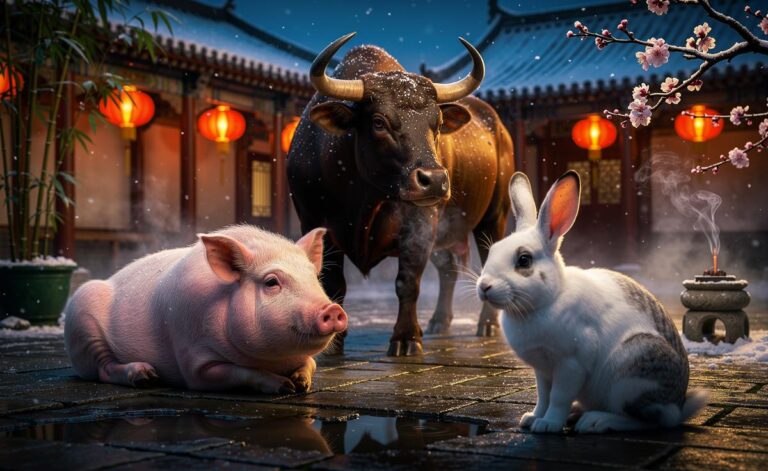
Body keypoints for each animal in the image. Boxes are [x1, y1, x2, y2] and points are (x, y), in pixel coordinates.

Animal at [64, 225, 347, 394]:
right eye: (271, 282)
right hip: (82, 321)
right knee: (103, 369)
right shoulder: (195, 362)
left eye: (314, 277)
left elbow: (311, 363)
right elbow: (239, 373)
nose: (333, 309)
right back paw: (145, 376)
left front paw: (302, 384)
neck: (273, 359)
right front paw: (285, 387)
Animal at [476, 170, 706, 433]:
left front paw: (548, 425)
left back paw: (596, 421)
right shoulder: (542, 371)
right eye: (492, 250)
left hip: (630, 376)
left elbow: (558, 397)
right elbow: (543, 397)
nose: (484, 286)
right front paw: (532, 418)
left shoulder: (571, 363)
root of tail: (678, 405)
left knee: (648, 419)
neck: (549, 299)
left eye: (524, 260)